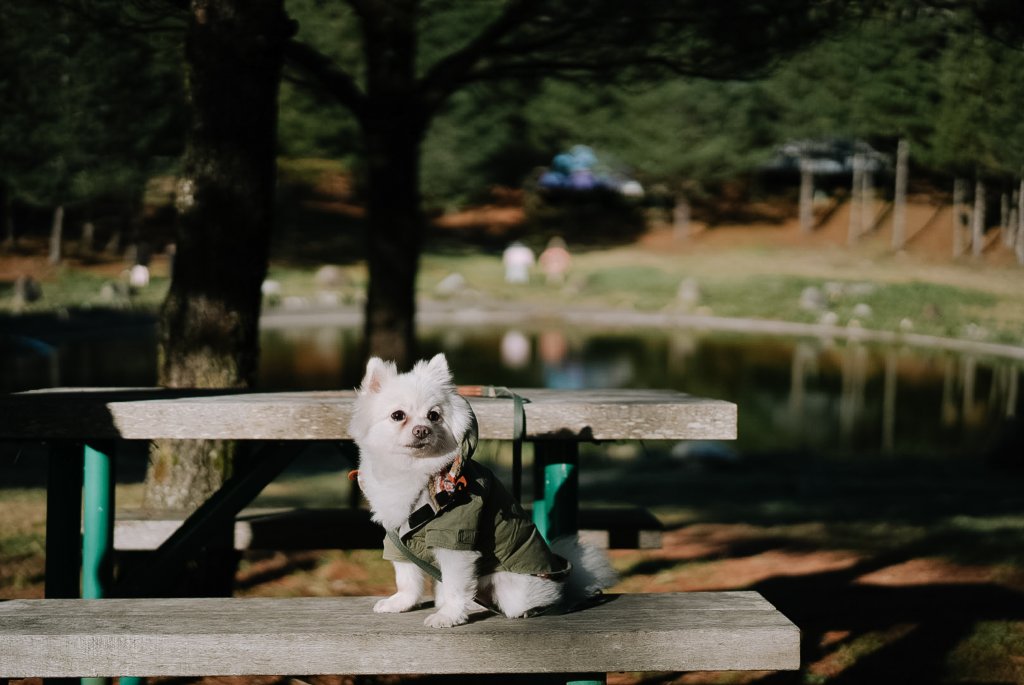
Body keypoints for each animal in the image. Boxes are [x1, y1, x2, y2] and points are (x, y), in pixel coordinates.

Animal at [348, 356, 614, 626]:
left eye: (434, 416)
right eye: (398, 415)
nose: (422, 429)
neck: (415, 472)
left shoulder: (454, 540)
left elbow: (455, 586)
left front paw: (448, 616)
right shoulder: (397, 537)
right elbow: (406, 578)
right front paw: (401, 603)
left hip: (514, 589)